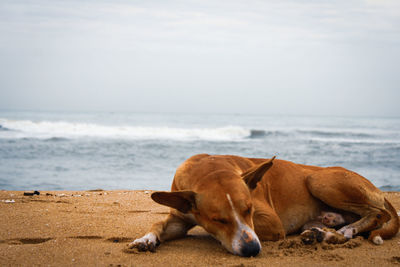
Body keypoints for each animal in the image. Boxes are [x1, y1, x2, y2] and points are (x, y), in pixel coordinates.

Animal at [130, 155, 398, 258]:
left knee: (378, 213)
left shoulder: (271, 222)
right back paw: (326, 232)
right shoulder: (179, 217)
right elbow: (159, 224)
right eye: (219, 219)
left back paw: (344, 230)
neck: (209, 168)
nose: (251, 250)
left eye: (249, 209)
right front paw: (145, 239)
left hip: (317, 179)